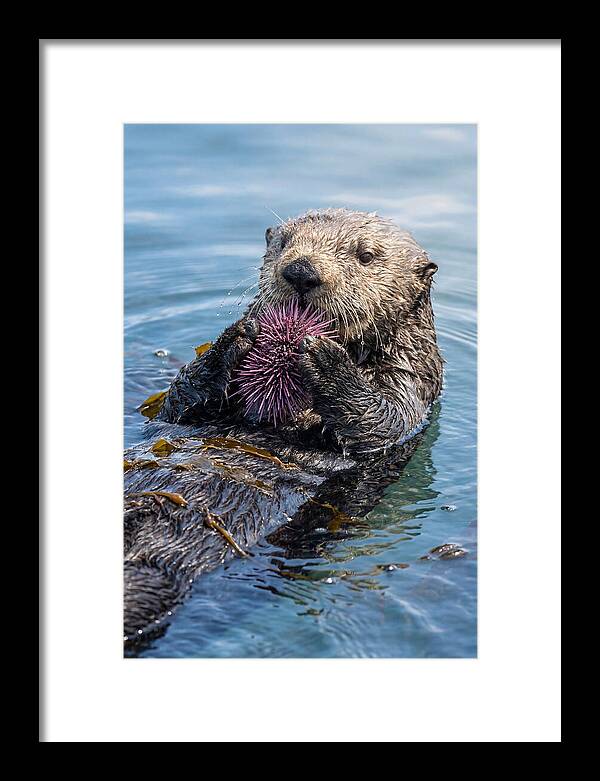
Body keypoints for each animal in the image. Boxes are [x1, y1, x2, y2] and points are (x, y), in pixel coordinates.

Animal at [124, 208, 443, 651]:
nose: (301, 271)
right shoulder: (181, 411)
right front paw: (235, 338)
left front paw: (326, 360)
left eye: (365, 255)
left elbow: (382, 421)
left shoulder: (411, 386)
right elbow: (177, 403)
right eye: (283, 243)